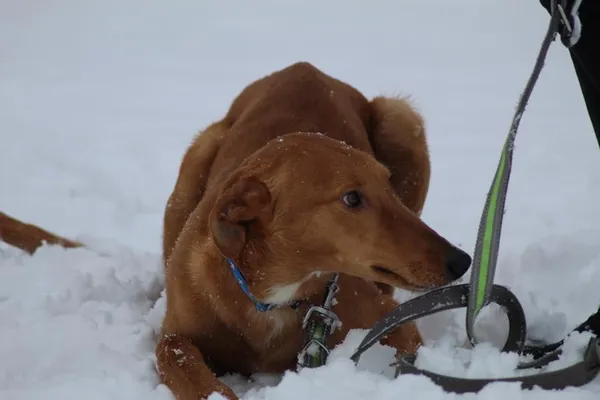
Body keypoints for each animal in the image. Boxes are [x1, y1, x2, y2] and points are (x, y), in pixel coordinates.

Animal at [154, 61, 468, 398]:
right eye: (352, 198)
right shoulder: (175, 335)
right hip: (193, 166)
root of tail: (303, 67)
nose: (462, 261)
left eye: (388, 185)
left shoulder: (393, 324)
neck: (273, 298)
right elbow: (180, 361)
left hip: (401, 118)